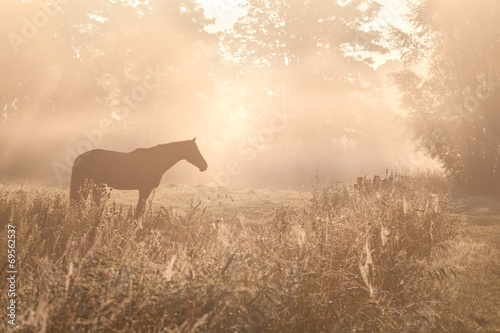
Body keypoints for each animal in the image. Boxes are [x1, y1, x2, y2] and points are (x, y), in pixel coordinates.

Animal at [70, 137, 207, 217]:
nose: (204, 166)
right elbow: (139, 210)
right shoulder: (145, 190)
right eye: (194, 150)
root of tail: (81, 157)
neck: (155, 160)